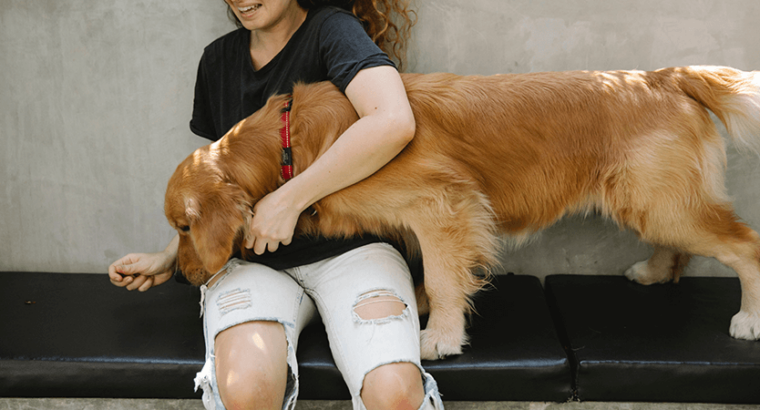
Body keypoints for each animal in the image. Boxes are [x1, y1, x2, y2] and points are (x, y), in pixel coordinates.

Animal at [166, 66, 760, 358]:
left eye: (184, 226)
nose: (181, 276)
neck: (289, 144)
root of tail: (664, 75)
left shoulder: (442, 205)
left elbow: (445, 276)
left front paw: (442, 337)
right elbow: (435, 273)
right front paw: (428, 306)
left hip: (660, 203)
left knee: (746, 246)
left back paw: (749, 318)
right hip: (655, 203)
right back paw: (656, 271)